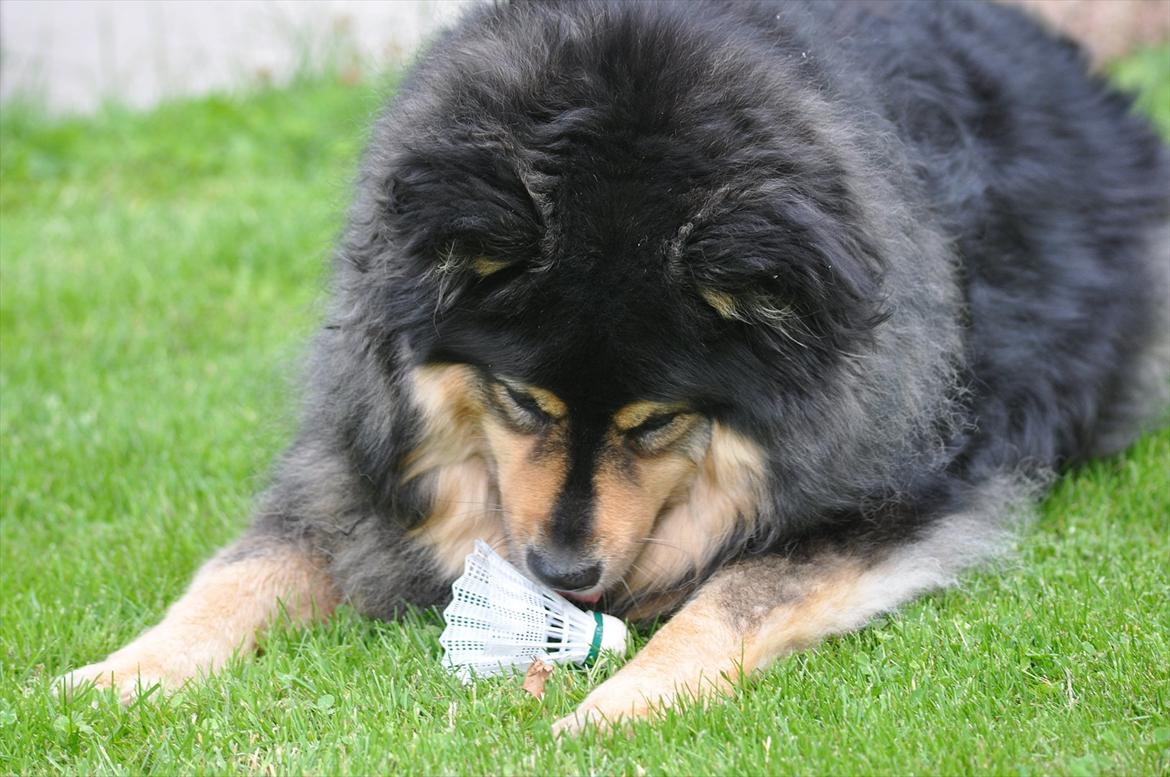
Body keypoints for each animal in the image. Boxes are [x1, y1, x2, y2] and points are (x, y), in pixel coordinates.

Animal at [61, 0, 1170, 730]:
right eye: (520, 401)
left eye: (659, 421)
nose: (562, 575)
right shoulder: (357, 468)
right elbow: (236, 575)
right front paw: (109, 679)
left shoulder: (909, 491)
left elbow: (733, 596)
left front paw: (616, 705)